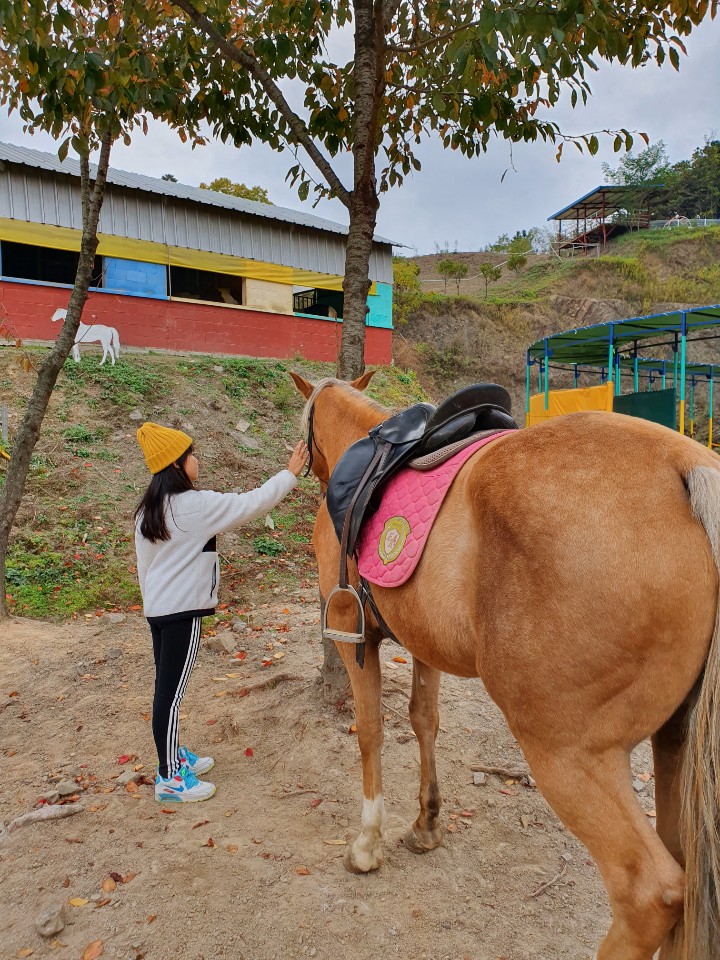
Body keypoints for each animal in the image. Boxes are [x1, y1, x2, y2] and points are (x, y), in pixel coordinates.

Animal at [290, 372, 720, 960]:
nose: (295, 462)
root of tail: (685, 463)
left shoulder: (352, 632)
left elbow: (371, 730)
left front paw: (366, 845)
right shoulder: (423, 643)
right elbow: (424, 721)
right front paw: (427, 823)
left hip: (570, 755)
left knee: (650, 893)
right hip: (675, 745)